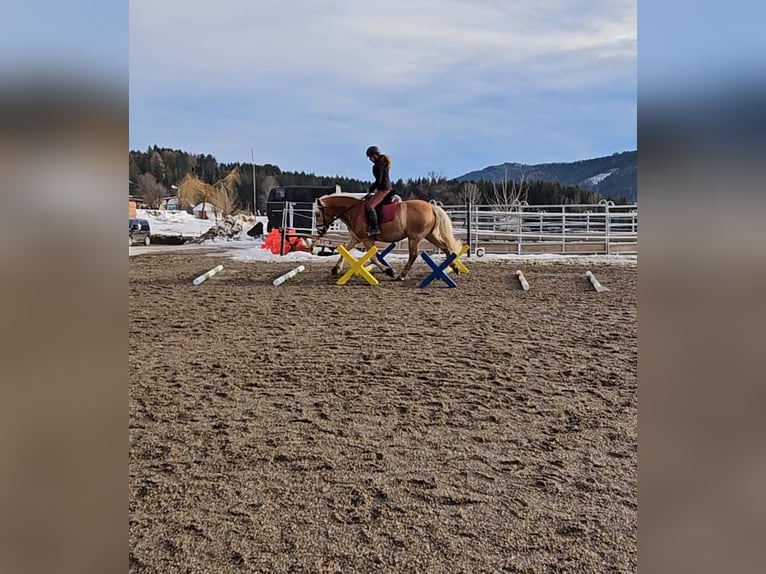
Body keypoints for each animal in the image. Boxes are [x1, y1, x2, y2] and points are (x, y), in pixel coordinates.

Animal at [316, 195, 464, 282]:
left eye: (317, 213)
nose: (319, 230)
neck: (354, 211)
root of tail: (432, 207)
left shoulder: (366, 239)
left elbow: (373, 258)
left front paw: (389, 271)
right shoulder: (356, 238)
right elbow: (345, 250)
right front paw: (336, 269)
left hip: (414, 238)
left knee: (414, 254)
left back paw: (401, 275)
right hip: (430, 235)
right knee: (445, 247)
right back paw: (455, 267)